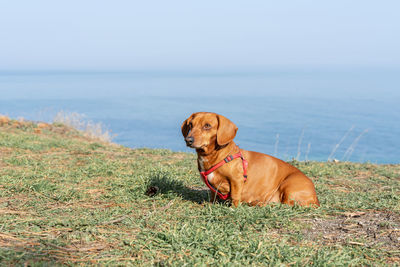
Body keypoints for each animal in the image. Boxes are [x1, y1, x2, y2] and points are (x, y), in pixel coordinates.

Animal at [183, 112, 320, 208]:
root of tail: (316, 198)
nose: (188, 140)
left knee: (286, 205)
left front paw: (233, 208)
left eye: (207, 126)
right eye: (191, 125)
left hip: (288, 185)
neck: (217, 156)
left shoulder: (236, 180)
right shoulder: (213, 188)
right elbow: (213, 195)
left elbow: (235, 196)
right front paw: (210, 204)